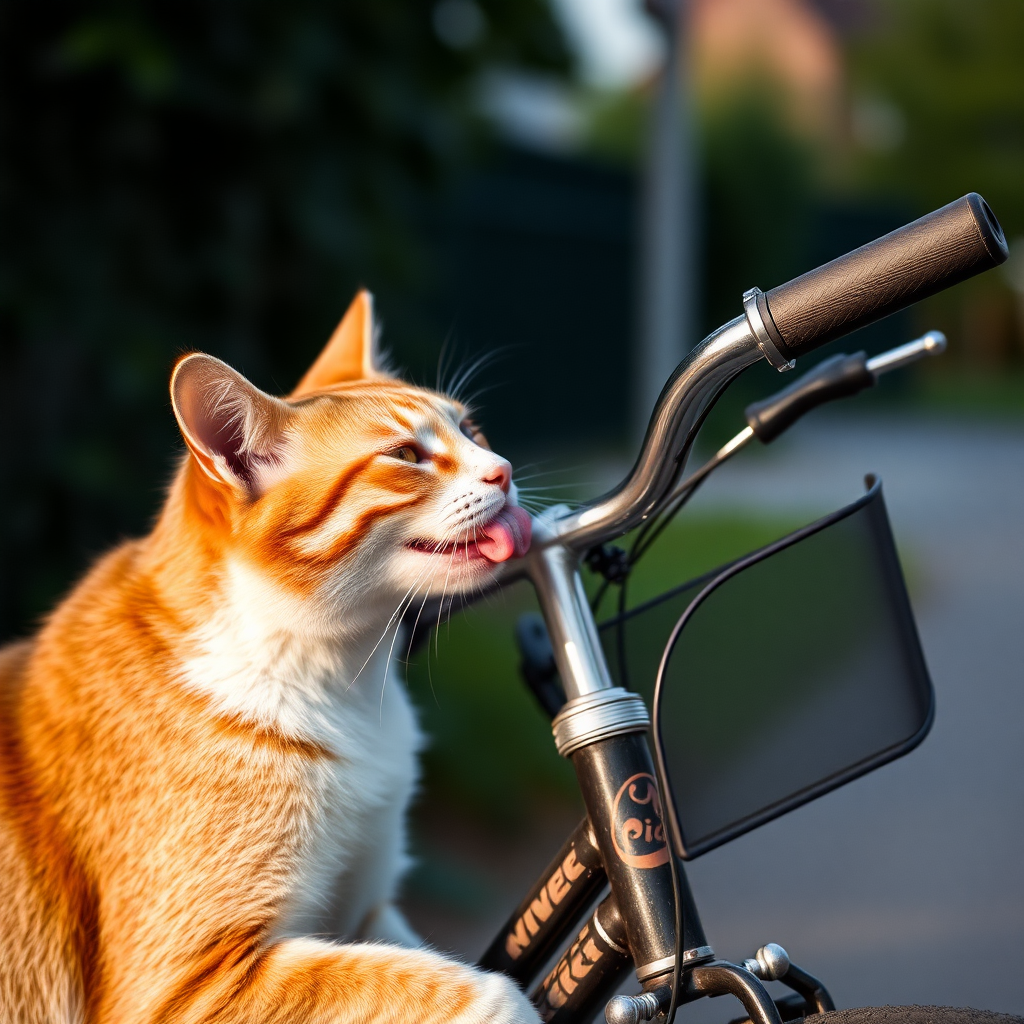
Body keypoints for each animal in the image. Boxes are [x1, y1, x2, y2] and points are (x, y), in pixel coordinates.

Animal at [2, 290, 536, 1024]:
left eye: (472, 429)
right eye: (406, 454)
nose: (503, 470)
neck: (342, 678)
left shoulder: (364, 910)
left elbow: (411, 960)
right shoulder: (187, 987)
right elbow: (450, 984)